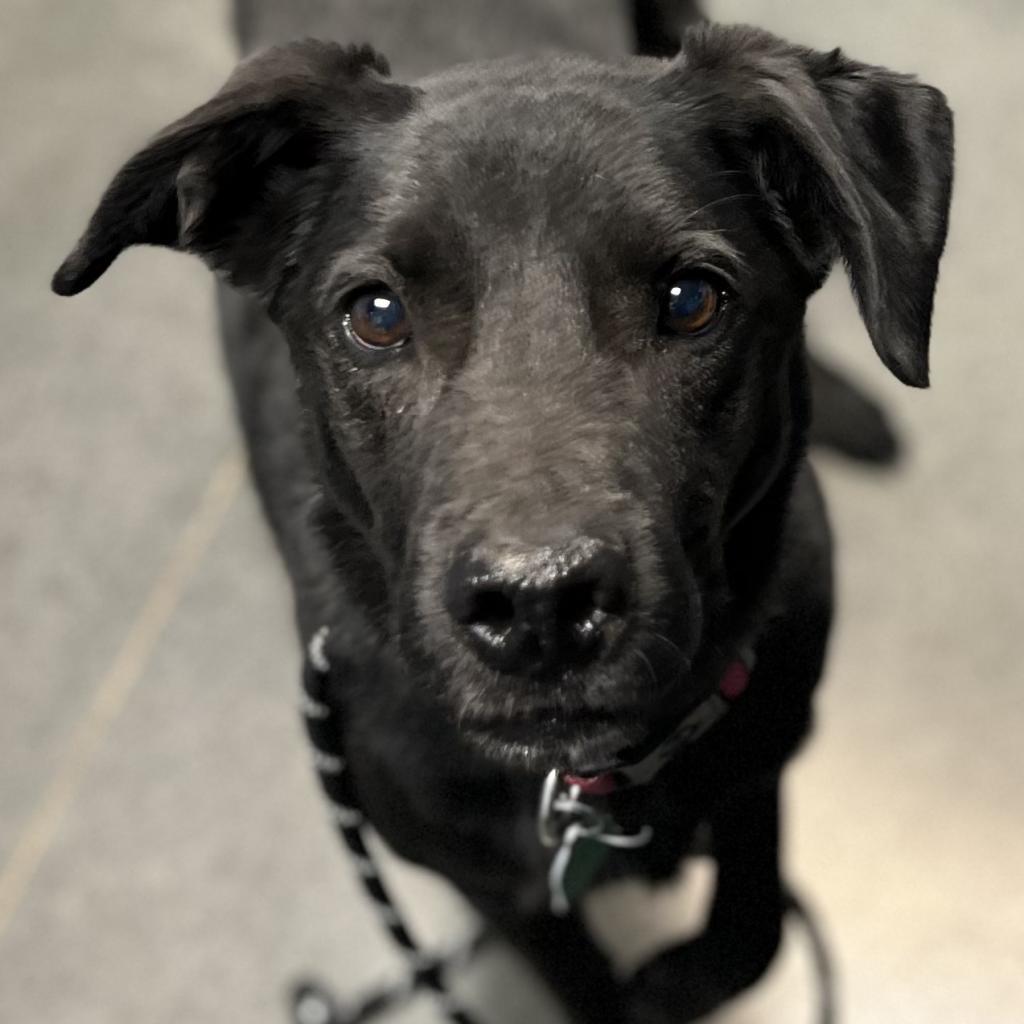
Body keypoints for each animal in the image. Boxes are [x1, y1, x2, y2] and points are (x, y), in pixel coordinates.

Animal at [56, 16, 950, 1024]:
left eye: (692, 300)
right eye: (375, 314)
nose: (538, 610)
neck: (587, 785)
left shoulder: (766, 736)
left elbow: (751, 922)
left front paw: (683, 969)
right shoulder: (491, 884)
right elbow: (594, 986)